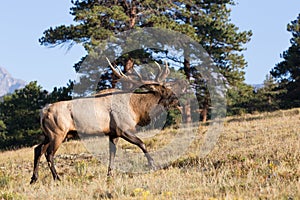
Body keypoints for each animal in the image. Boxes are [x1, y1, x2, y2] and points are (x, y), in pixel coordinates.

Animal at [29, 58, 180, 184]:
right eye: (166, 92)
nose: (178, 100)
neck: (136, 110)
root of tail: (43, 112)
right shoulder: (123, 129)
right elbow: (141, 143)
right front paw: (153, 165)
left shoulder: (113, 134)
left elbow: (112, 154)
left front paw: (109, 175)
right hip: (58, 133)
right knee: (49, 153)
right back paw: (57, 178)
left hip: (48, 135)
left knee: (38, 149)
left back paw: (34, 179)